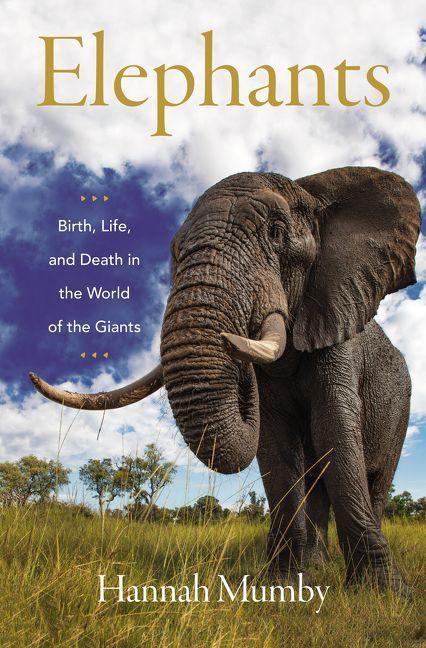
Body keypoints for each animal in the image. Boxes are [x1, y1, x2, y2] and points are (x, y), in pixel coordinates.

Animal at [30, 166, 421, 596]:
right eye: (175, 251)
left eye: (276, 232)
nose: (232, 339)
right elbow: (276, 443)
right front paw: (283, 586)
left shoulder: (338, 329)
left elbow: (333, 427)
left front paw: (384, 594)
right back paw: (318, 565)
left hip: (401, 408)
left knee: (376, 478)